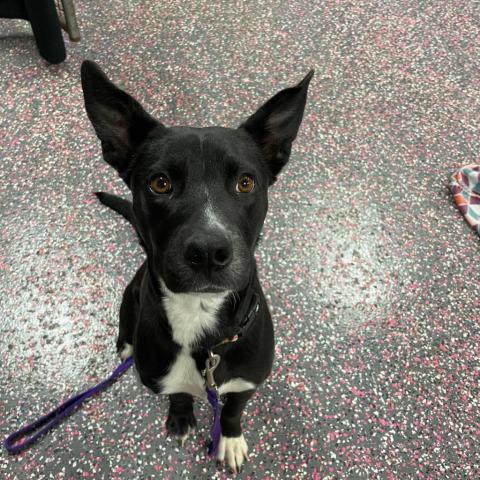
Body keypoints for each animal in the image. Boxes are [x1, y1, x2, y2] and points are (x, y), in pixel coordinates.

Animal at [80, 61, 314, 472]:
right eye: (160, 183)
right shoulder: (163, 377)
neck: (200, 328)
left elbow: (233, 409)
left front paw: (229, 439)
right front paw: (180, 418)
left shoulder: (247, 382)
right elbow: (179, 395)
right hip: (130, 293)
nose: (208, 251)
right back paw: (125, 345)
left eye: (245, 183)